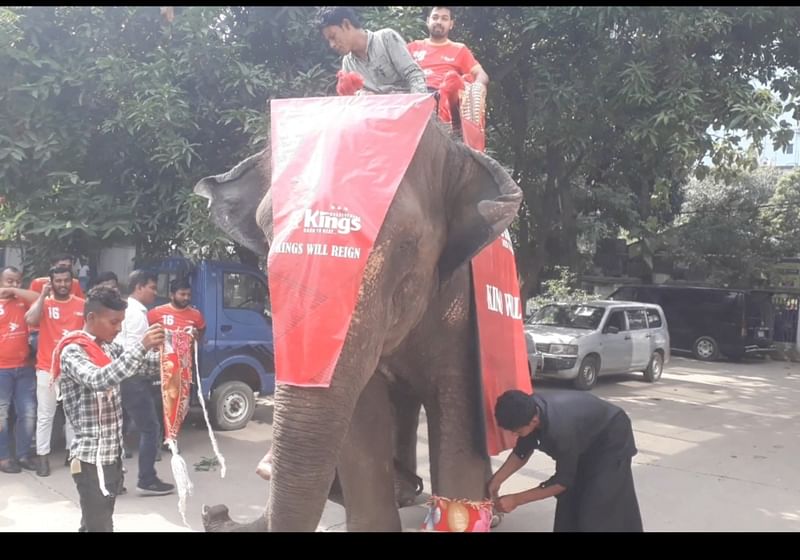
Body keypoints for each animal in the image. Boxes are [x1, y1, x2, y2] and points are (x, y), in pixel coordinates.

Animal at [191, 116, 520, 532]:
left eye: (407, 245)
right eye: (266, 239)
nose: (214, 510)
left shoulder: (462, 305)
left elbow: (456, 404)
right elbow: (363, 414)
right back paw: (406, 490)